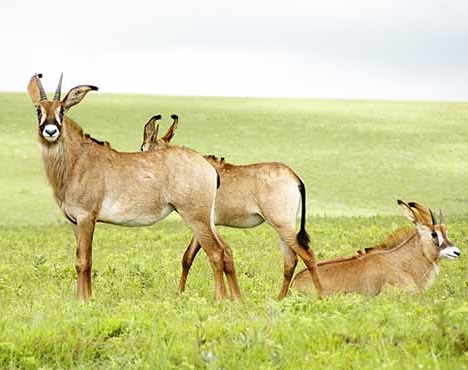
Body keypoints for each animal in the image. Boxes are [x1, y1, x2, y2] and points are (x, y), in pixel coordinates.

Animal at [27, 73, 241, 302]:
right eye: (38, 109)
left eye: (62, 110)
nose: (51, 131)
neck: (76, 160)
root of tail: (208, 167)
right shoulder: (74, 222)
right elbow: (83, 260)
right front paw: (84, 299)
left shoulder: (87, 218)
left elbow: (84, 261)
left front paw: (84, 301)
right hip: (208, 219)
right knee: (226, 250)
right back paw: (236, 299)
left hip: (196, 217)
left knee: (216, 253)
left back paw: (220, 299)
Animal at [140, 114, 322, 300]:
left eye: (142, 148)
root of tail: (295, 177)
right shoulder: (205, 225)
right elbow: (189, 257)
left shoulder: (201, 222)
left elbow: (192, 257)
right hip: (284, 227)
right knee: (290, 261)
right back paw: (279, 298)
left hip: (281, 224)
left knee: (308, 255)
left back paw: (321, 296)